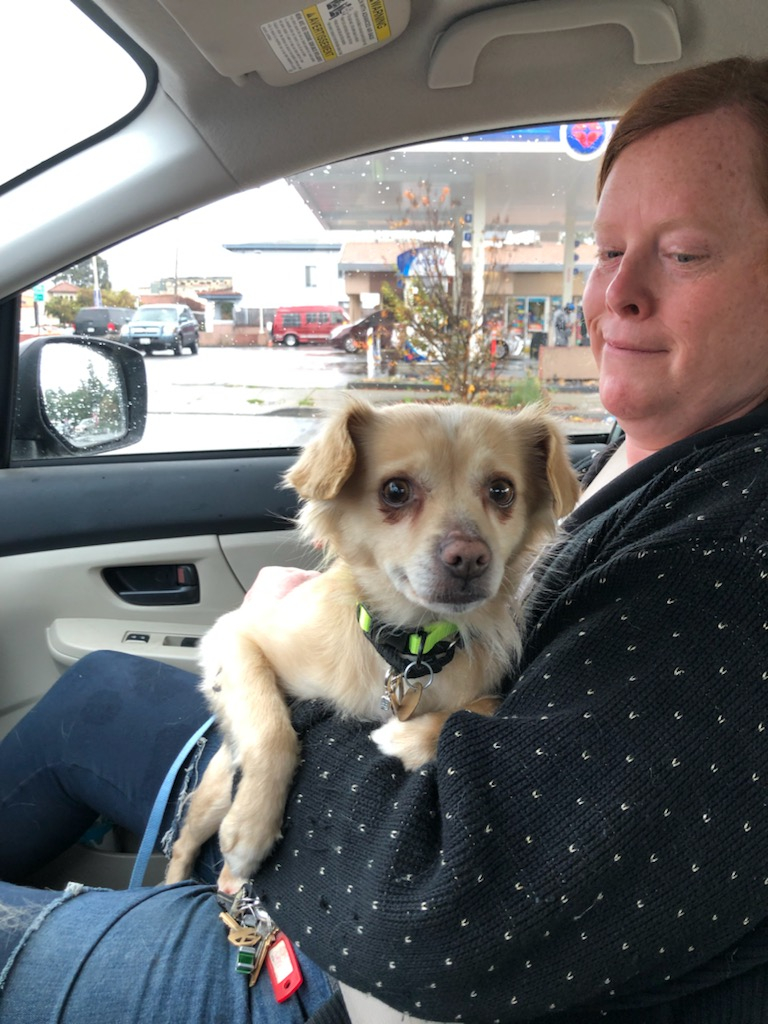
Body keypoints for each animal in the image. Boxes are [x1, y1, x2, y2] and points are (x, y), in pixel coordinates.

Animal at [165, 398, 580, 890]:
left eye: (502, 491)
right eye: (395, 491)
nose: (469, 557)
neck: (410, 647)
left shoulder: (480, 689)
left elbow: (483, 706)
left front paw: (403, 739)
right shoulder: (236, 634)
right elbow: (272, 728)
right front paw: (251, 828)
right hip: (213, 792)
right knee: (183, 844)